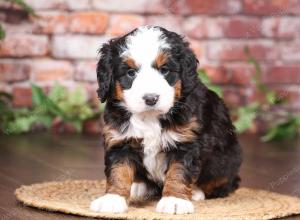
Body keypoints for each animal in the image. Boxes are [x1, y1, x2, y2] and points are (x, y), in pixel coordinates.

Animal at [90, 26, 243, 215]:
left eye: (165, 70)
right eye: (131, 73)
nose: (151, 98)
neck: (149, 117)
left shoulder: (185, 143)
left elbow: (178, 171)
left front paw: (175, 200)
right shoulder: (120, 141)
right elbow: (118, 171)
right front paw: (113, 198)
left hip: (227, 160)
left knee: (224, 183)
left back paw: (196, 192)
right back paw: (138, 187)